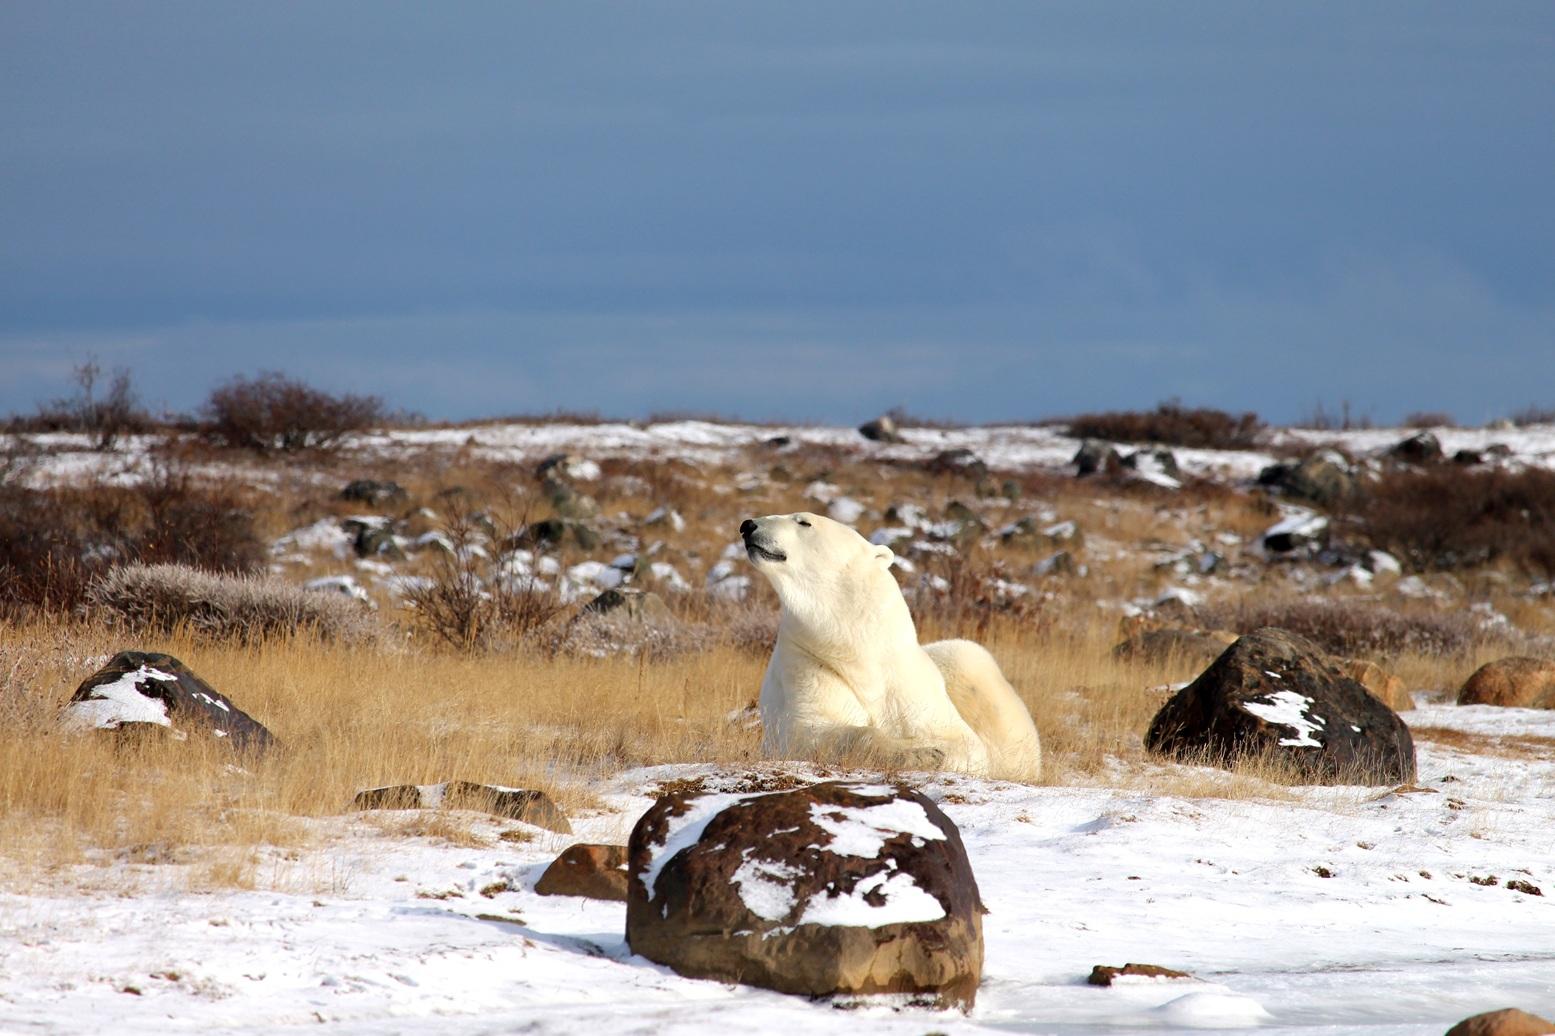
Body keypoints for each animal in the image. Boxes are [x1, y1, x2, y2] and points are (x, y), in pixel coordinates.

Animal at [740, 511, 1041, 781]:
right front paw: (918, 753)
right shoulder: (809, 664)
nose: (748, 525)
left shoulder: (907, 683)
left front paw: (931, 751)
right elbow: (812, 730)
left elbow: (963, 742)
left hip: (969, 662)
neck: (856, 648)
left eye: (804, 521)